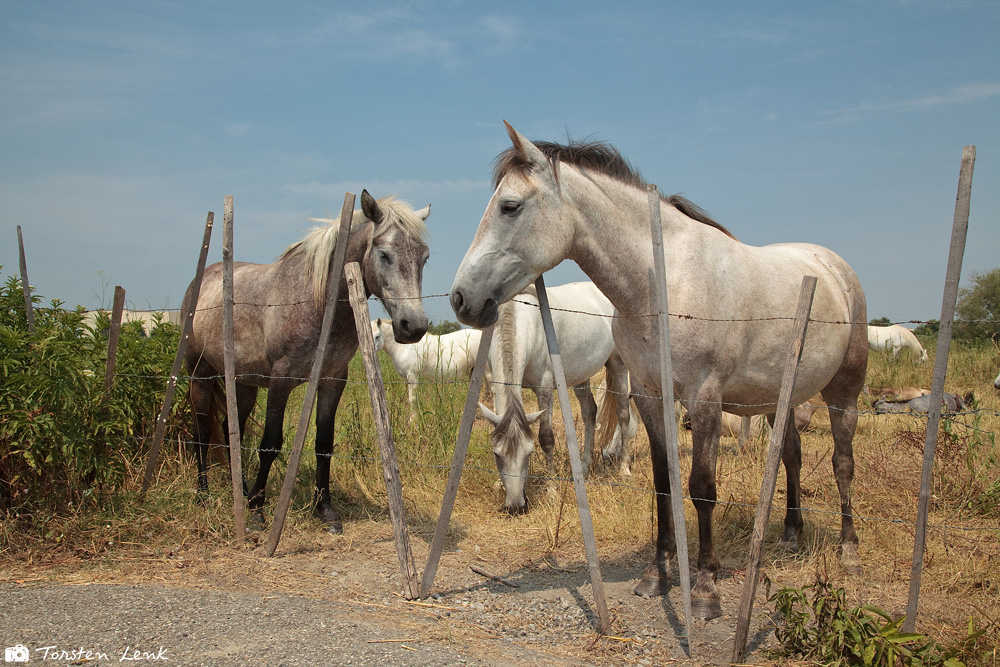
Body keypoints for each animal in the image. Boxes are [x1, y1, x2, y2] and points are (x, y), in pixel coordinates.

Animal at [474, 280, 628, 516]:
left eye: (529, 453)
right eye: (496, 454)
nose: (516, 507)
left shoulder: (544, 384)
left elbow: (546, 438)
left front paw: (552, 488)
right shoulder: (492, 381)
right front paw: (499, 484)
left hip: (617, 364)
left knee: (623, 414)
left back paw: (625, 469)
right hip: (580, 375)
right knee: (589, 413)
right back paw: (584, 468)